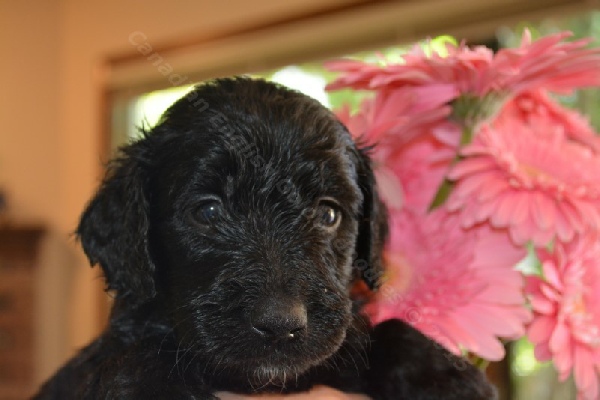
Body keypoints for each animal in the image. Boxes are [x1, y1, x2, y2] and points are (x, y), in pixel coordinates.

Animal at [37, 76, 496, 398]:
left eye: (328, 213)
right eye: (207, 211)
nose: (281, 324)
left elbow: (380, 332)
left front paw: (445, 376)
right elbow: (136, 361)